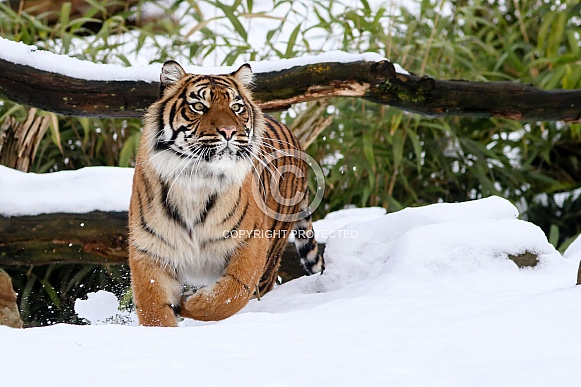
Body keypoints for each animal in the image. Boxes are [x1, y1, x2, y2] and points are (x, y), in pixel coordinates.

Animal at [129, 60, 324, 328]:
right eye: (199, 106)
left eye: (236, 107)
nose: (229, 131)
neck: (196, 179)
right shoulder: (149, 248)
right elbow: (153, 308)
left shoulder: (251, 241)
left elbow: (231, 293)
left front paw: (190, 303)